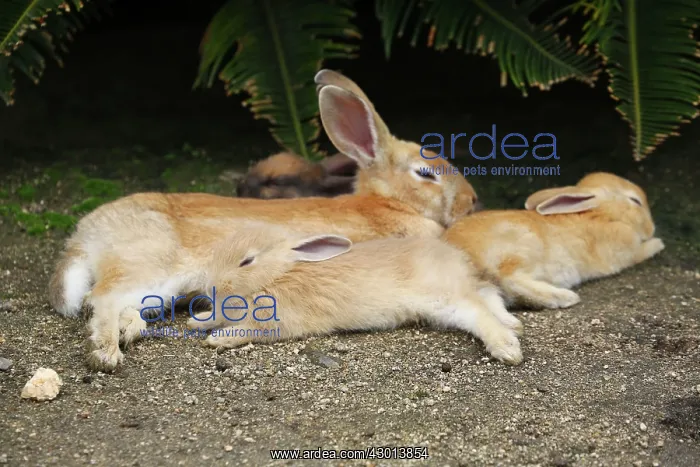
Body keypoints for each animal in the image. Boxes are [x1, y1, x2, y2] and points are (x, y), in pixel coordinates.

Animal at [49, 69, 478, 371]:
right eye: (426, 173)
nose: (472, 201)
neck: (390, 203)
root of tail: (86, 235)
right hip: (149, 266)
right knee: (101, 300)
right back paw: (106, 354)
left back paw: (130, 333)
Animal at [185, 224, 524, 365]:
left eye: (247, 261)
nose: (211, 286)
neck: (280, 273)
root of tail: (455, 260)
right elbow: (215, 317)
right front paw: (197, 321)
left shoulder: (280, 320)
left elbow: (248, 330)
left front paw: (218, 340)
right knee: (486, 294)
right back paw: (512, 322)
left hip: (441, 298)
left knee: (477, 311)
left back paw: (507, 348)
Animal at [442, 172, 665, 310]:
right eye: (635, 201)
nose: (652, 228)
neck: (601, 214)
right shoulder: (627, 253)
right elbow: (642, 251)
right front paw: (659, 242)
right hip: (525, 245)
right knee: (511, 279)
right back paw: (567, 297)